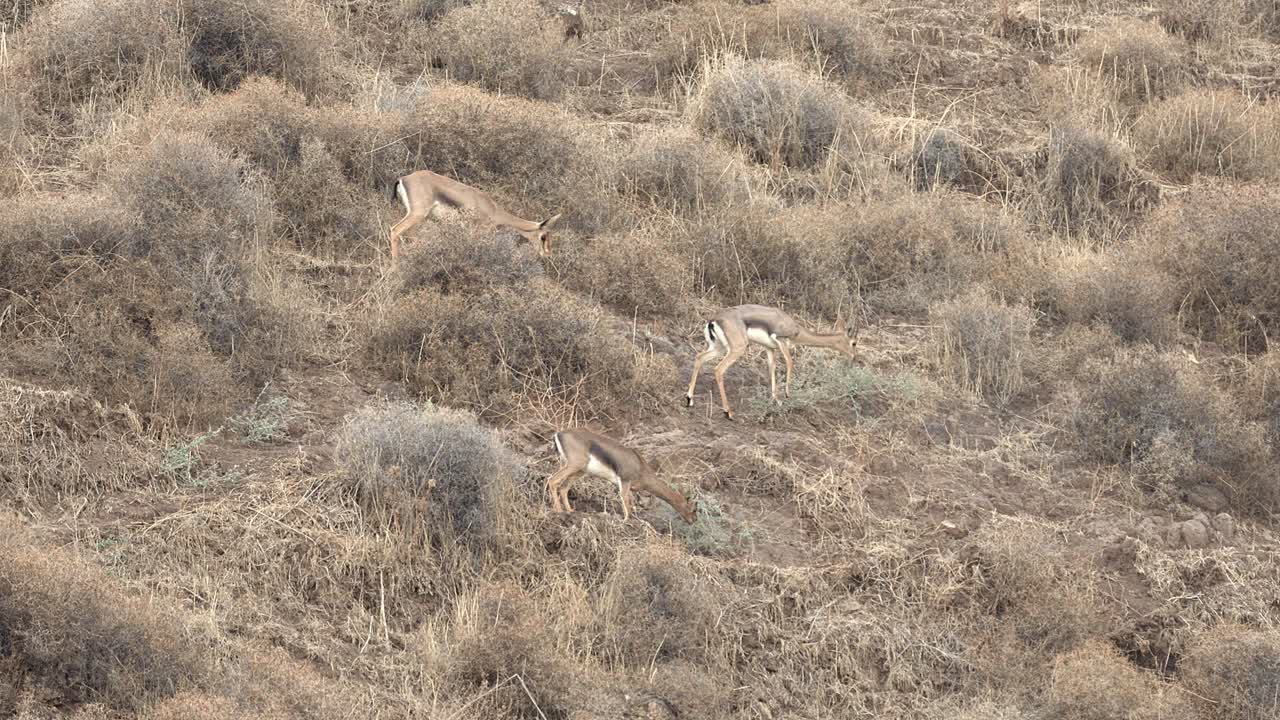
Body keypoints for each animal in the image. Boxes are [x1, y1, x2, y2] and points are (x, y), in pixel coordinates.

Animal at [388, 170, 562, 262]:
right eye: (543, 237)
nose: (548, 254)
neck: (494, 210)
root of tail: (404, 178)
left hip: (417, 218)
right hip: (417, 214)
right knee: (394, 230)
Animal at [547, 429, 698, 524]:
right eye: (693, 509)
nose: (693, 521)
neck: (641, 467)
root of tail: (558, 433)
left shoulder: (628, 486)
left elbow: (629, 502)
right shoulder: (625, 481)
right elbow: (625, 501)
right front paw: (626, 520)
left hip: (577, 470)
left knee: (563, 487)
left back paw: (570, 511)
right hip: (574, 465)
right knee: (552, 480)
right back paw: (559, 511)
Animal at [684, 304, 858, 420]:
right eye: (854, 343)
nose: (854, 358)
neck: (797, 329)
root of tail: (713, 320)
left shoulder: (769, 348)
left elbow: (772, 368)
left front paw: (776, 400)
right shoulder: (781, 341)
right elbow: (790, 363)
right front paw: (787, 395)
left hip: (718, 348)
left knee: (699, 357)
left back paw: (689, 399)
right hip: (736, 349)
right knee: (719, 369)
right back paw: (728, 412)